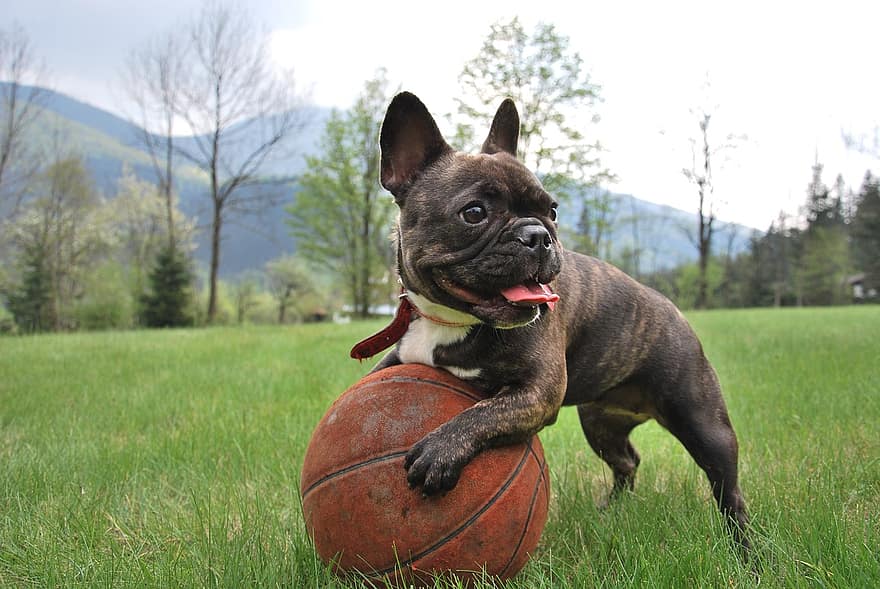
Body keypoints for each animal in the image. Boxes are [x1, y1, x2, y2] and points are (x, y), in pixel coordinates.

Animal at [350, 92, 748, 552]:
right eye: (474, 212)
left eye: (552, 209)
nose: (538, 234)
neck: (451, 320)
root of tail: (672, 309)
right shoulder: (401, 358)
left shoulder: (538, 391)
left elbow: (484, 412)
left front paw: (439, 450)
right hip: (600, 423)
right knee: (627, 461)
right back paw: (612, 511)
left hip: (703, 422)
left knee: (728, 490)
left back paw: (746, 549)